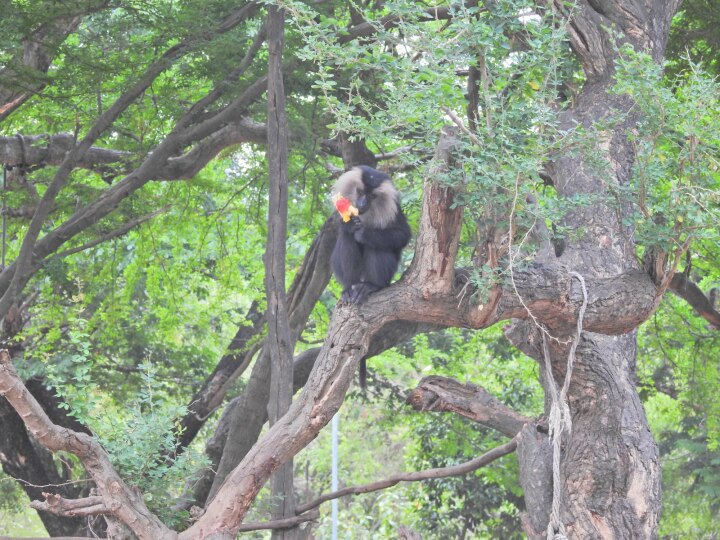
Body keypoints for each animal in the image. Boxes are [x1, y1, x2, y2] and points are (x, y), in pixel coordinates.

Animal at [332, 165, 410, 304]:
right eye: (361, 192)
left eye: (372, 196)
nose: (362, 204)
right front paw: (350, 225)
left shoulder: (394, 210)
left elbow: (403, 234)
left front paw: (364, 234)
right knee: (347, 238)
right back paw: (349, 287)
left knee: (377, 245)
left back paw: (371, 286)